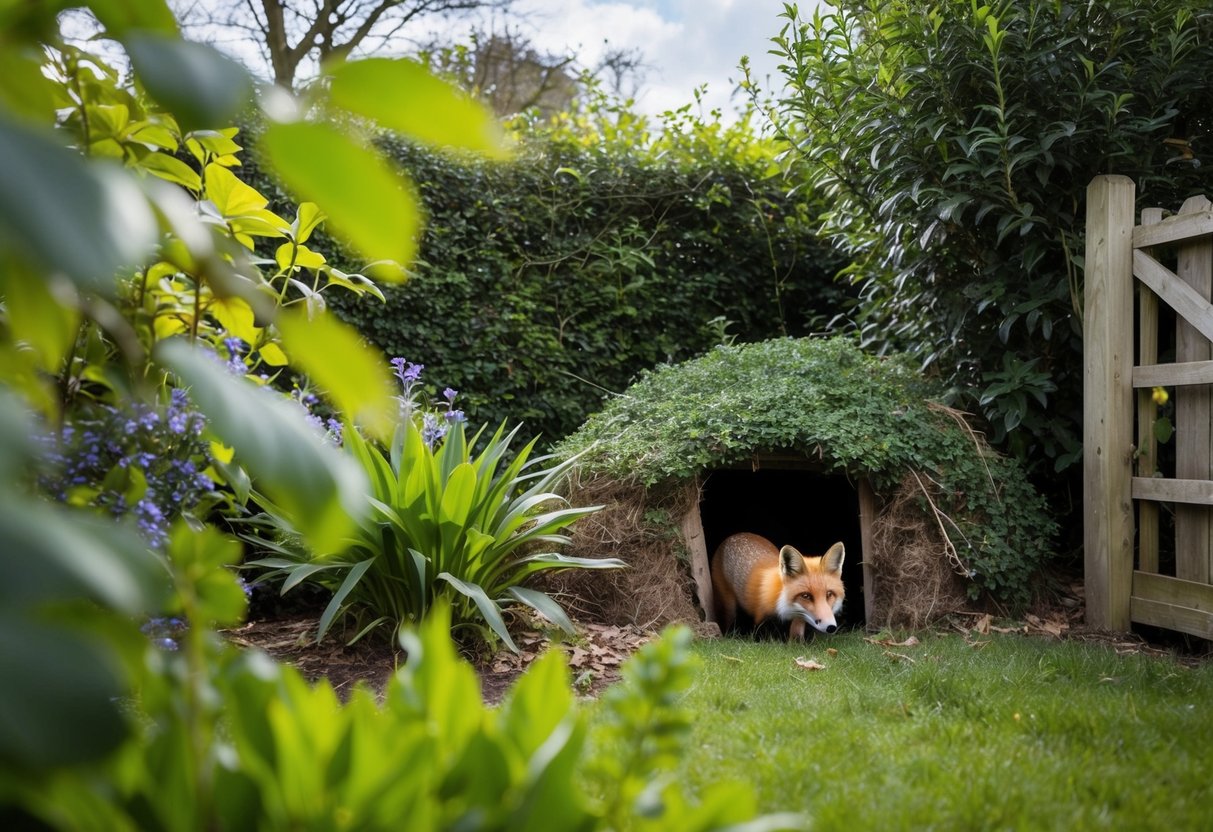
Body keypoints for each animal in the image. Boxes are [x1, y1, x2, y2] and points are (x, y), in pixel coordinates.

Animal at [711, 532, 845, 639]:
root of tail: (735, 535)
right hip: (729, 607)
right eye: (806, 596)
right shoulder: (761, 621)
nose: (830, 627)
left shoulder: (799, 618)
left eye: (829, 594)